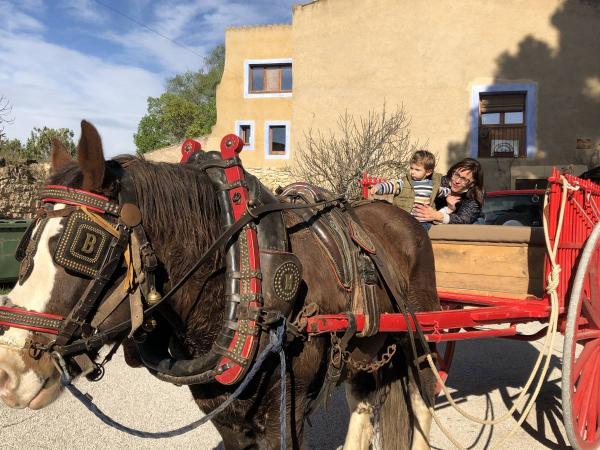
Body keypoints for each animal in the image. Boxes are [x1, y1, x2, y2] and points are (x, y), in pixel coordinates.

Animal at [0, 120, 440, 450]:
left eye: (86, 246)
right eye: (25, 247)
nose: (9, 370)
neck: (243, 268)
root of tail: (401, 218)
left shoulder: (285, 417)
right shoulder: (226, 416)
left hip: (420, 337)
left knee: (424, 400)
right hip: (367, 349)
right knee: (364, 401)